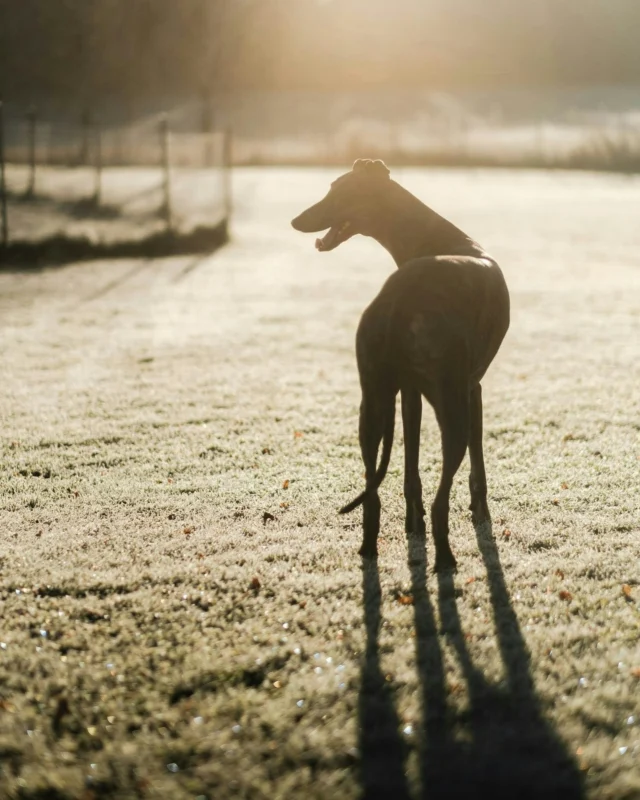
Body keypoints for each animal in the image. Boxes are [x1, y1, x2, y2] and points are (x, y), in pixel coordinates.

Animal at [292, 158, 510, 568]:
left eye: (338, 191)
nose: (296, 220)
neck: (436, 238)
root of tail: (399, 297)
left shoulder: (409, 393)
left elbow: (410, 465)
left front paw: (413, 522)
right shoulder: (471, 388)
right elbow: (476, 461)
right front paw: (479, 511)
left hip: (372, 403)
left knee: (371, 489)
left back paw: (370, 546)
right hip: (449, 406)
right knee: (443, 496)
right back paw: (445, 557)